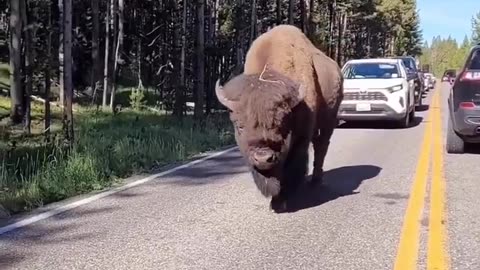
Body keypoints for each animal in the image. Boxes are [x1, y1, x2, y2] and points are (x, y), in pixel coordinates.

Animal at [216, 24, 344, 212]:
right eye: (239, 126)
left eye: (282, 124)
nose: (263, 158)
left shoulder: (300, 140)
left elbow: (291, 166)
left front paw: (281, 201)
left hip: (329, 121)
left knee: (322, 146)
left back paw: (315, 181)